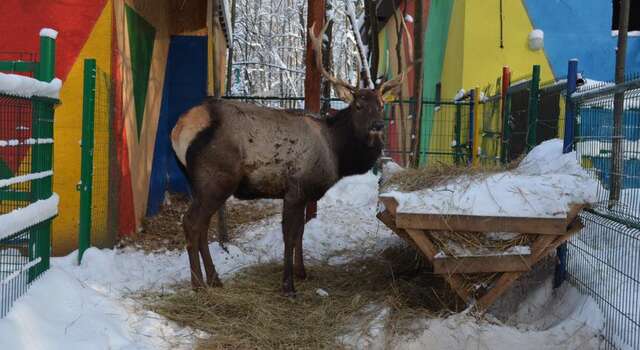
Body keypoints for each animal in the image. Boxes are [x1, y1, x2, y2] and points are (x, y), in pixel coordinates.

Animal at [169, 21, 400, 296]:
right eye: (358, 106)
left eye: (381, 105)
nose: (377, 126)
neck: (336, 154)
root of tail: (180, 128)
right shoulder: (295, 189)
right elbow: (289, 236)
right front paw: (288, 285)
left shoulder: (306, 194)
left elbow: (300, 233)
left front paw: (302, 272)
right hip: (215, 178)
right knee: (191, 222)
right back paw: (198, 285)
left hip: (198, 182)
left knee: (203, 226)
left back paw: (215, 279)